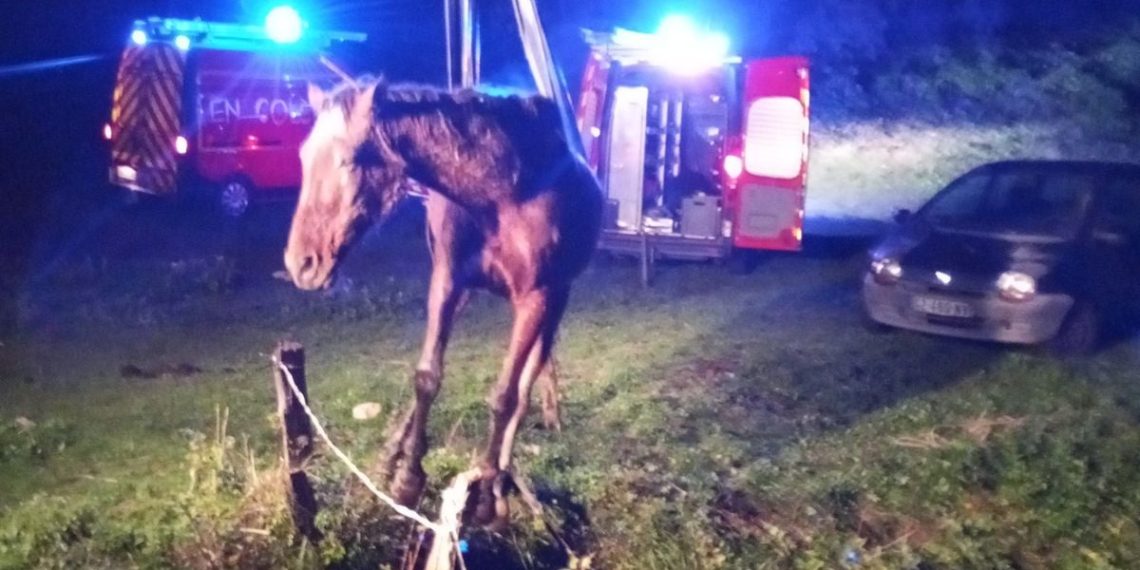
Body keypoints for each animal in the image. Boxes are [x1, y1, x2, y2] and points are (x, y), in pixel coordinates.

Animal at [283, 78, 602, 526]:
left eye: (348, 161)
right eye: (302, 157)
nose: (301, 263)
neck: (503, 190)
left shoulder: (536, 298)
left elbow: (506, 396)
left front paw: (486, 492)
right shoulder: (448, 281)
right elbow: (427, 376)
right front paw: (408, 476)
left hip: (556, 302)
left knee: (528, 385)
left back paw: (500, 479)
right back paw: (392, 455)